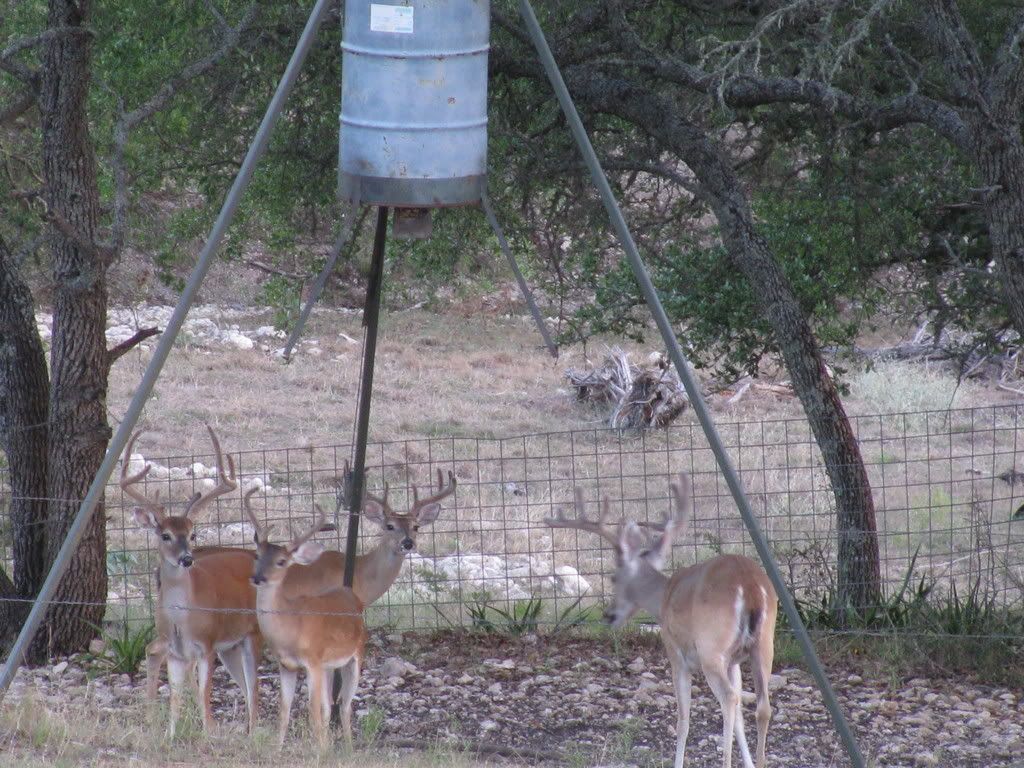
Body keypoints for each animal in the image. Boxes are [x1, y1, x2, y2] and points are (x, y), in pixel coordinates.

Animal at [123, 426, 260, 736]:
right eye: (165, 535)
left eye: (193, 534)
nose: (187, 559)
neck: (180, 618)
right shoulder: (176, 651)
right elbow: (175, 698)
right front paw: (169, 735)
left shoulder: (206, 645)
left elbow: (203, 694)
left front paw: (208, 732)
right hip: (231, 646)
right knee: (247, 691)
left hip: (254, 634)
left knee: (255, 690)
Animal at [246, 491, 369, 747]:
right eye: (257, 555)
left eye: (281, 562)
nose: (258, 578)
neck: (290, 628)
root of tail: (351, 593)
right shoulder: (286, 665)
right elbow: (284, 711)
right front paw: (278, 748)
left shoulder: (312, 661)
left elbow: (313, 712)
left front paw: (319, 751)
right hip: (329, 666)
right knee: (330, 705)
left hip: (356, 654)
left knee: (345, 705)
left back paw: (348, 748)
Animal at [546, 473, 778, 768]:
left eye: (613, 577)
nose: (608, 615)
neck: (664, 597)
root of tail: (749, 586)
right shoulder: (734, 661)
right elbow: (738, 720)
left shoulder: (675, 650)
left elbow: (683, 720)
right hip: (764, 643)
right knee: (762, 706)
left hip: (711, 647)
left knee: (730, 698)